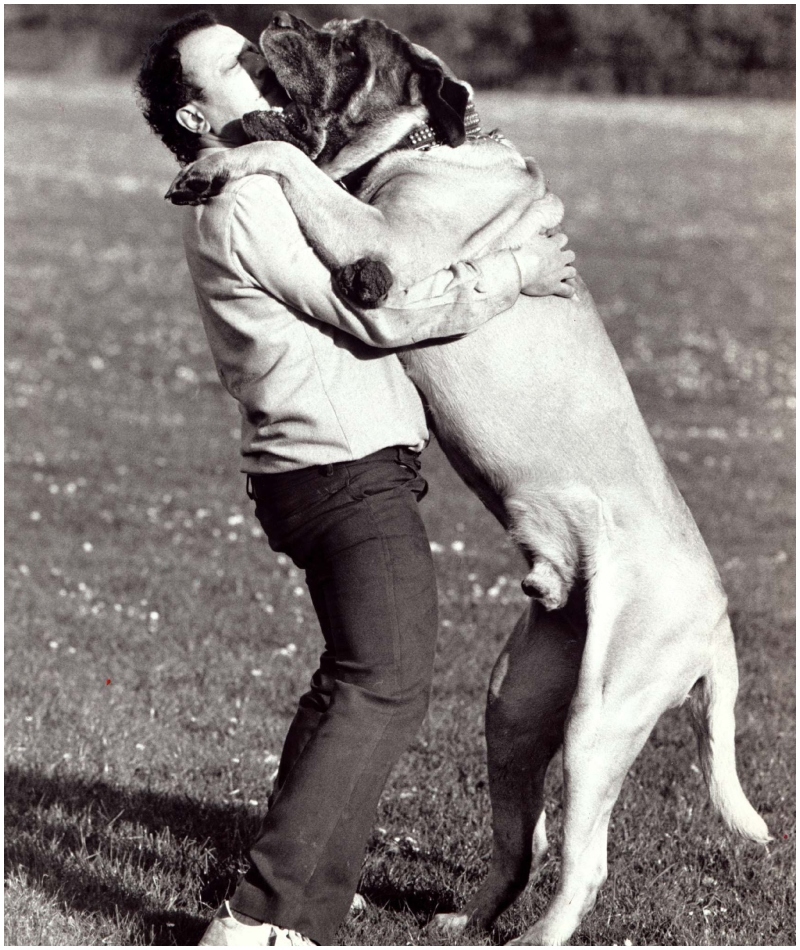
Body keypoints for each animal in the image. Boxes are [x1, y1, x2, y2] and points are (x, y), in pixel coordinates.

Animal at [167, 13, 768, 944]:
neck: (415, 147)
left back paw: (537, 937)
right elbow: (287, 153)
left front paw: (217, 163)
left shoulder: (381, 245)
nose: (287, 20)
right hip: (513, 706)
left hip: (603, 716)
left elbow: (288, 161)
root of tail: (718, 618)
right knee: (522, 839)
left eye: (347, 46)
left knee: (584, 862)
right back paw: (463, 922)